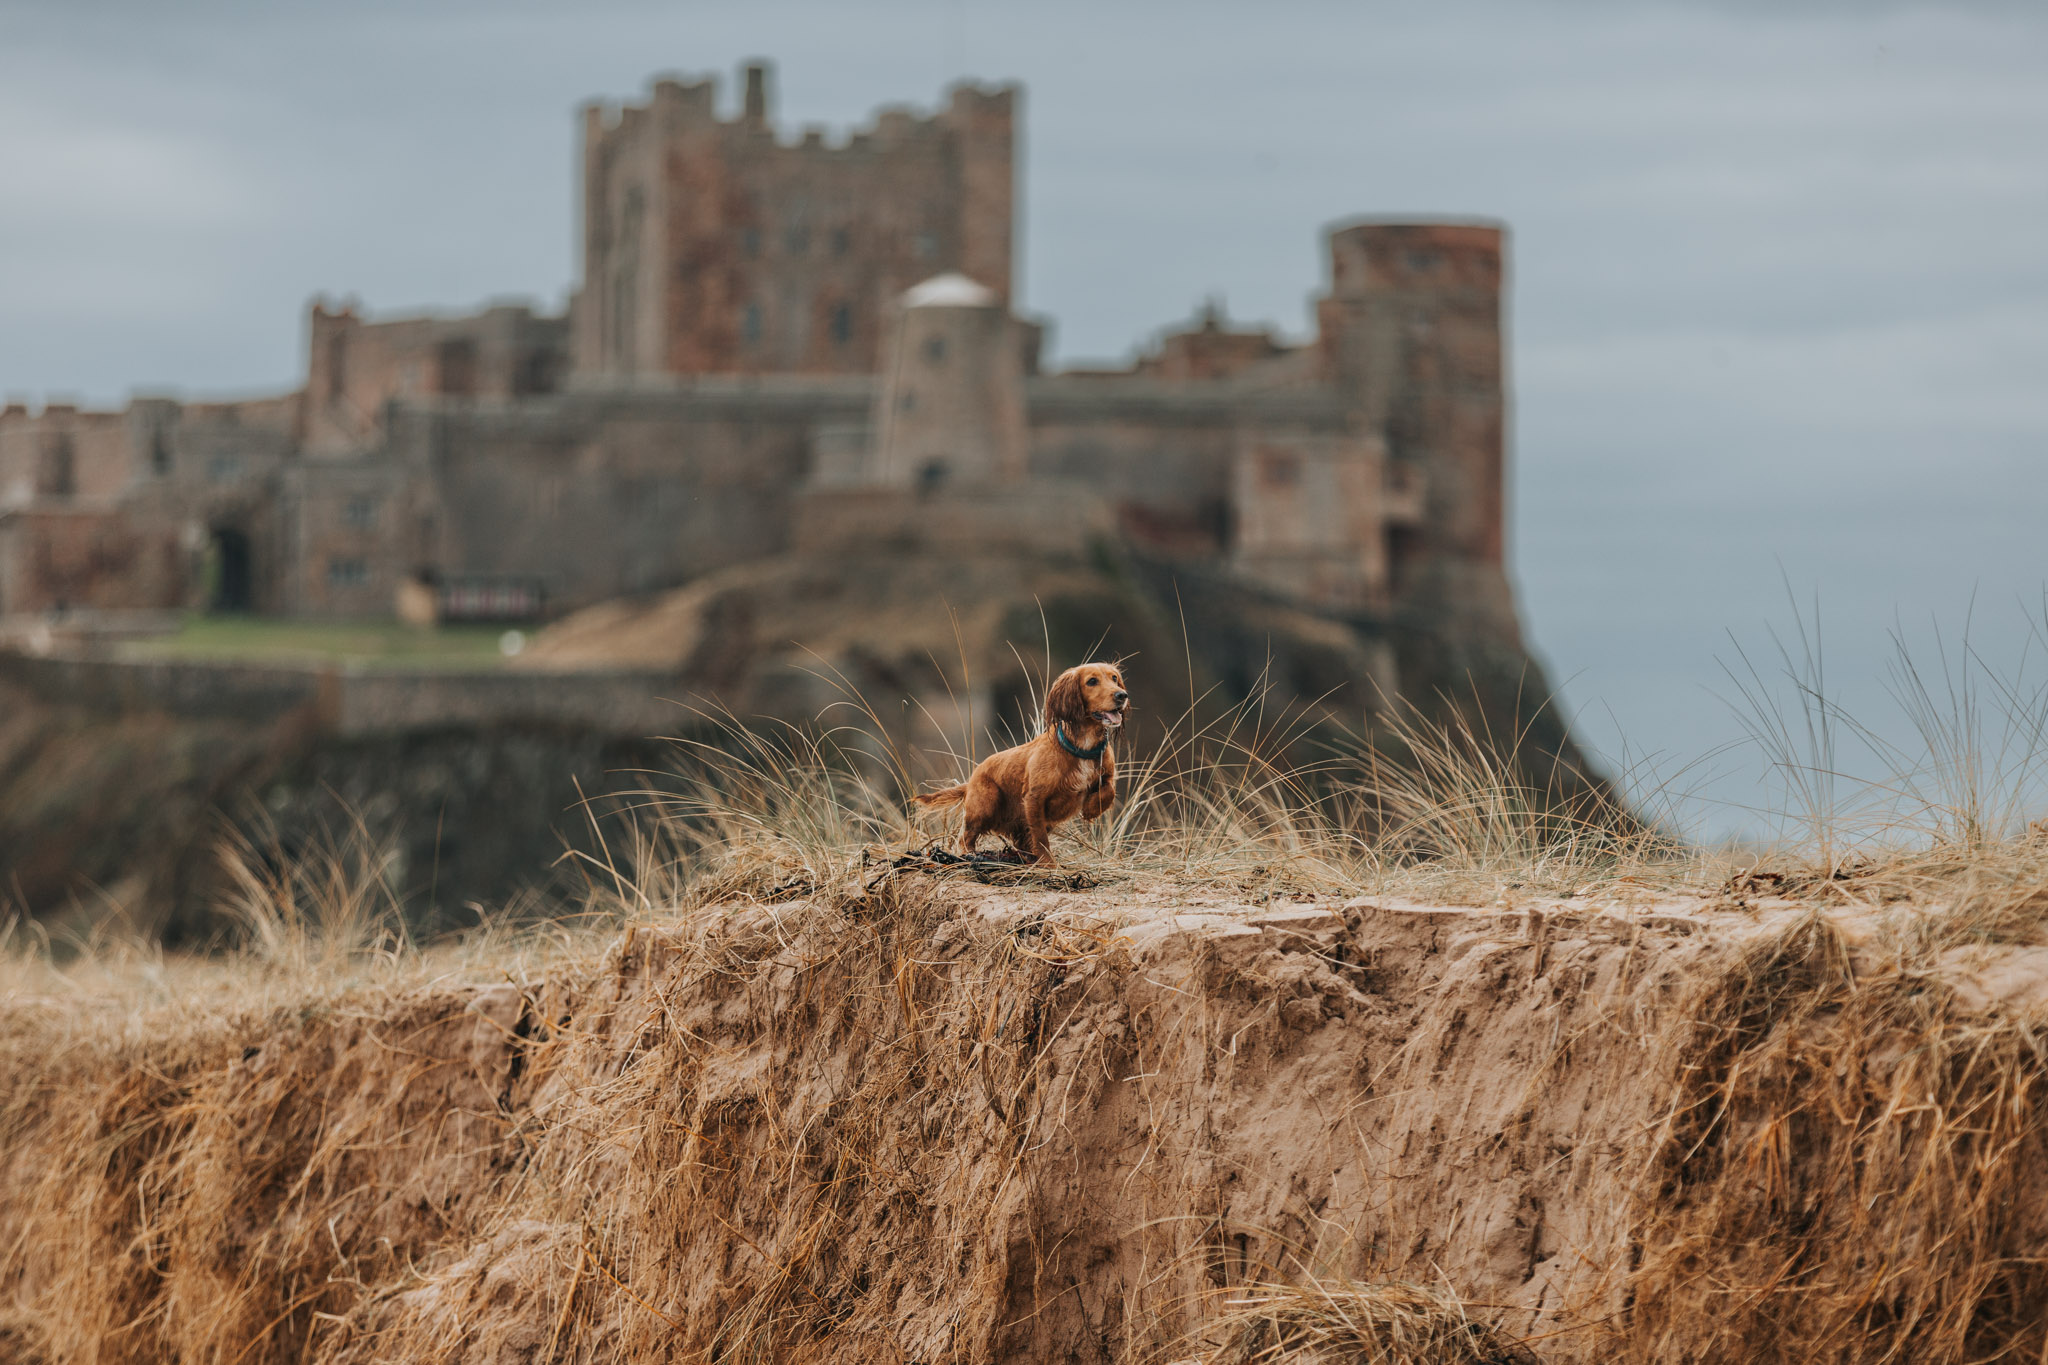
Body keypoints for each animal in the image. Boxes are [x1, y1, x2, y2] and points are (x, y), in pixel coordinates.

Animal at [917, 663, 1130, 863]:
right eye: (1092, 681)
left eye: (1114, 678)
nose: (1122, 695)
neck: (1083, 749)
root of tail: (969, 783)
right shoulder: (1034, 798)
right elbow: (1040, 838)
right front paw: (1048, 864)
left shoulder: (1106, 774)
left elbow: (1109, 789)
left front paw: (1092, 808)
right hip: (986, 801)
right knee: (965, 837)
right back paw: (969, 855)